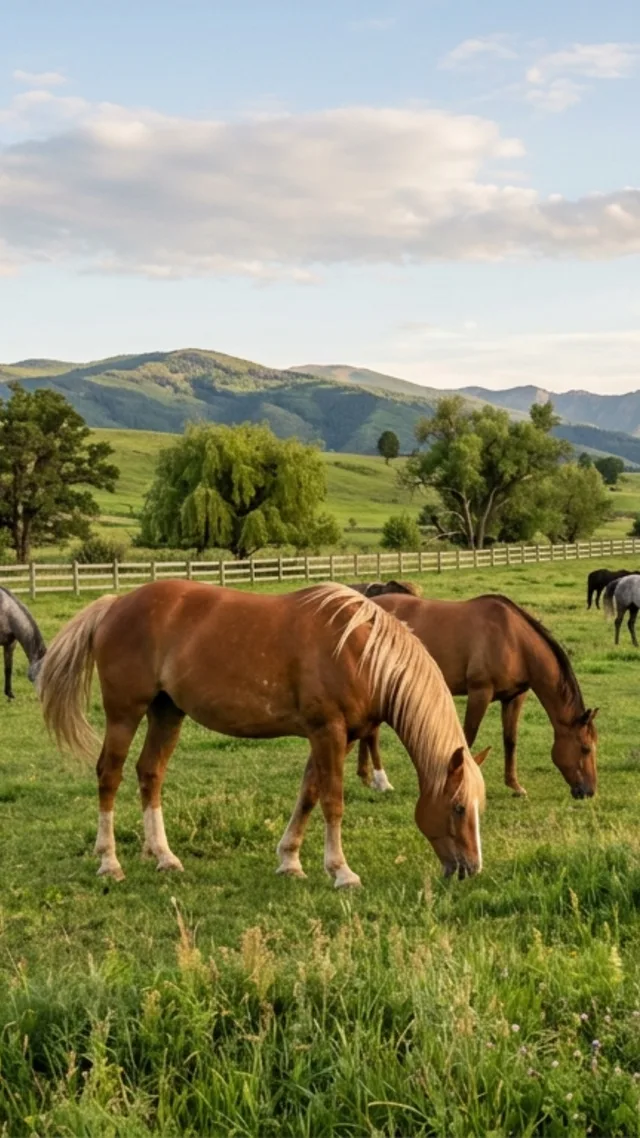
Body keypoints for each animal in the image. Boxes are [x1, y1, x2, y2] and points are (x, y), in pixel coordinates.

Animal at [38, 580, 487, 886]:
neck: (360, 651)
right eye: (458, 808)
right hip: (124, 714)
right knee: (109, 775)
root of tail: (115, 604)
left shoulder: (335, 737)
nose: (470, 869)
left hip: (167, 713)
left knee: (150, 774)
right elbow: (332, 801)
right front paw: (341, 871)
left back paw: (164, 856)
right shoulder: (328, 731)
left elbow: (308, 795)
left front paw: (289, 860)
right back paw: (109, 862)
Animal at [356, 593, 598, 800]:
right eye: (585, 748)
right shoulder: (480, 693)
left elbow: (510, 740)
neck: (514, 640)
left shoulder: (514, 698)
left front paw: (515, 786)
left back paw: (367, 777)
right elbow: (468, 737)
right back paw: (380, 781)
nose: (589, 791)